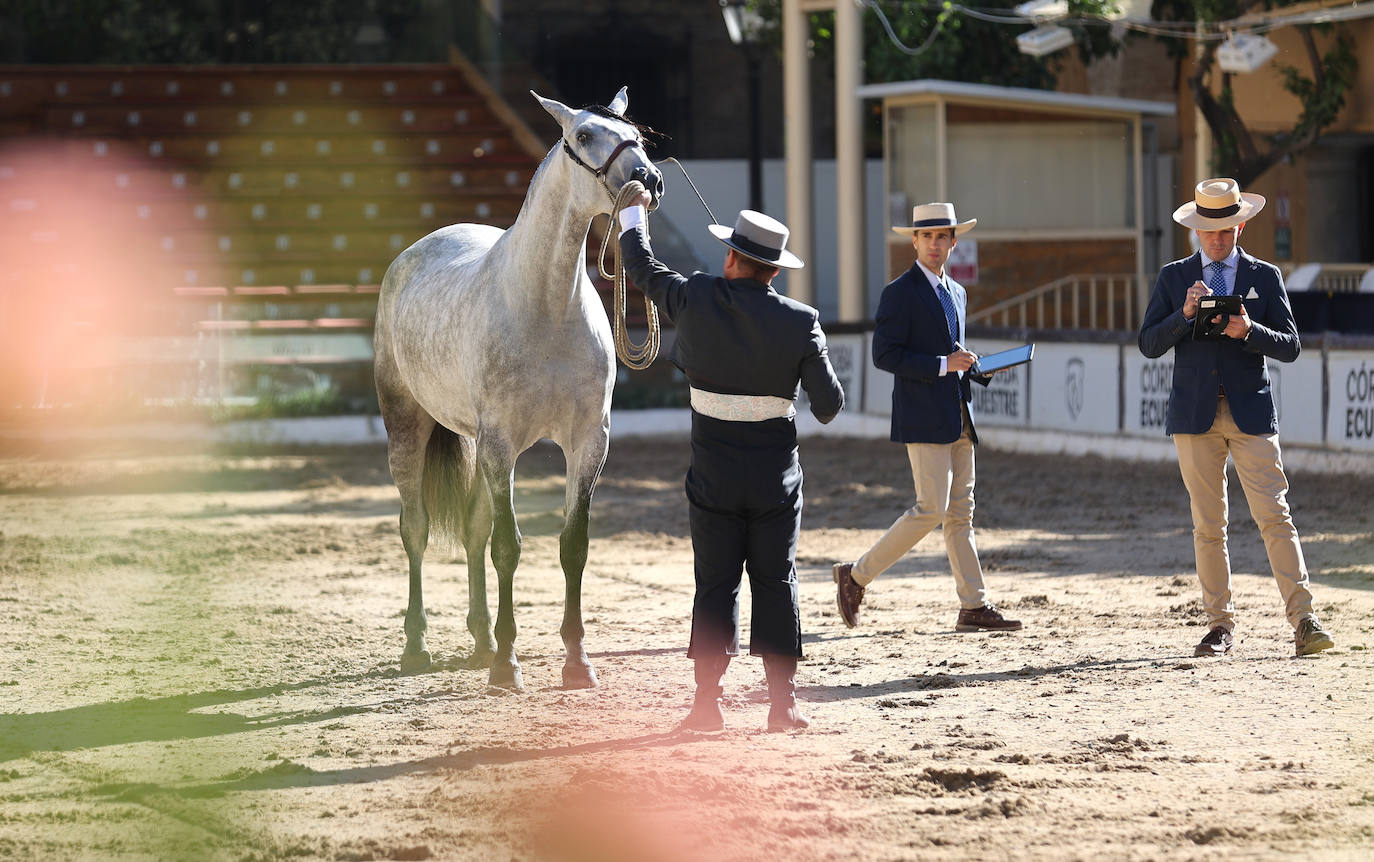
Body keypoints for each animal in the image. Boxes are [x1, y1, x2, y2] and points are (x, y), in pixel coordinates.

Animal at [370, 89, 659, 695]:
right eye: (583, 137)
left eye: (639, 137)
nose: (647, 178)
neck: (546, 308)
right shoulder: (502, 444)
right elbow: (508, 547)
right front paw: (508, 666)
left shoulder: (586, 443)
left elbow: (572, 546)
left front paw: (576, 662)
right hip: (409, 429)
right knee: (417, 530)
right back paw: (418, 647)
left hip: (480, 450)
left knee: (473, 529)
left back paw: (480, 640)